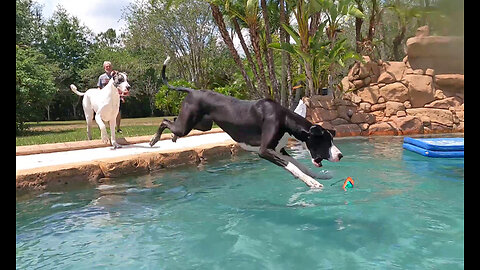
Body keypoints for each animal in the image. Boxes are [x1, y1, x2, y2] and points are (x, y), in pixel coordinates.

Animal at [150, 56, 342, 188]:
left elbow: (300, 165)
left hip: (202, 125)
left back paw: (173, 137)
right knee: (164, 121)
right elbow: (292, 167)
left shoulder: (279, 150)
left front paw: (319, 176)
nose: (340, 155)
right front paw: (311, 182)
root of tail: (192, 90)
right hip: (187, 125)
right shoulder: (265, 151)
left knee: (174, 120)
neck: (285, 119)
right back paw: (154, 139)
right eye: (325, 141)